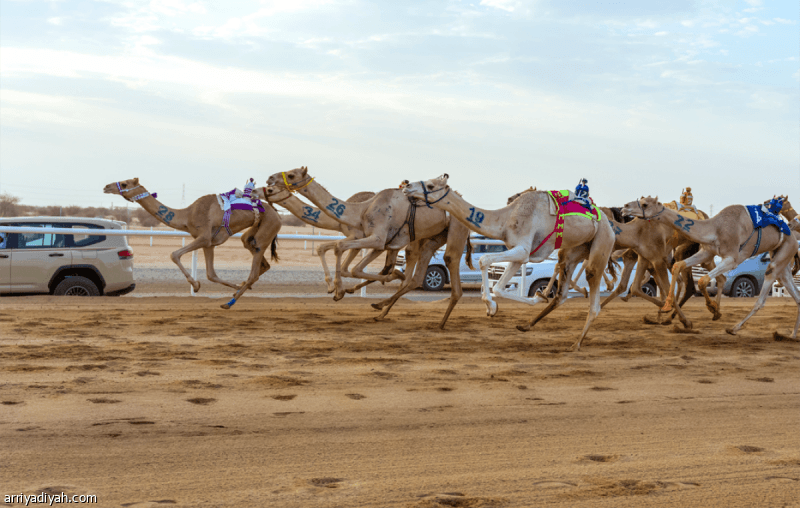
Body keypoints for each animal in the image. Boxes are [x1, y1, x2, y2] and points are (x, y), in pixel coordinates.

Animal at [103, 178, 280, 309]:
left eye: (124, 184)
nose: (106, 186)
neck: (187, 216)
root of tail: (278, 214)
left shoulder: (204, 238)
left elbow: (174, 254)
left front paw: (195, 285)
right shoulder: (209, 244)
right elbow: (211, 275)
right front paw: (235, 286)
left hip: (268, 228)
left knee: (254, 269)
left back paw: (229, 303)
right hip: (252, 233)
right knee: (260, 260)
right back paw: (241, 289)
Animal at [264, 167, 474, 329]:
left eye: (291, 175)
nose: (268, 182)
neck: (360, 210)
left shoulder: (376, 240)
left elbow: (342, 251)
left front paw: (338, 291)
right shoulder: (379, 242)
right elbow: (350, 265)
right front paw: (340, 289)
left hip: (455, 227)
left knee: (449, 265)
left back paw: (438, 322)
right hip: (432, 237)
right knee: (415, 276)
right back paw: (381, 310)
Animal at [403, 175, 616, 351]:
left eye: (431, 185)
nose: (407, 186)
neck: (506, 220)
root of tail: (609, 223)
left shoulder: (522, 249)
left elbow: (484, 260)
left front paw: (492, 306)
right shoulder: (520, 253)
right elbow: (499, 287)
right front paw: (529, 300)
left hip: (602, 241)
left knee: (593, 292)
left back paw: (576, 343)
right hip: (573, 250)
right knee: (562, 292)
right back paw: (527, 324)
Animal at [621, 196, 800, 339]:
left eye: (645, 204)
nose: (625, 207)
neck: (715, 228)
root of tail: (794, 237)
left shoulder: (733, 258)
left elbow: (703, 281)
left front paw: (713, 308)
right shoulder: (707, 252)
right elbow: (678, 265)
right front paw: (666, 307)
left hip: (782, 254)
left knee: (763, 293)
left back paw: (734, 328)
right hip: (782, 260)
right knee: (795, 294)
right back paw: (791, 335)